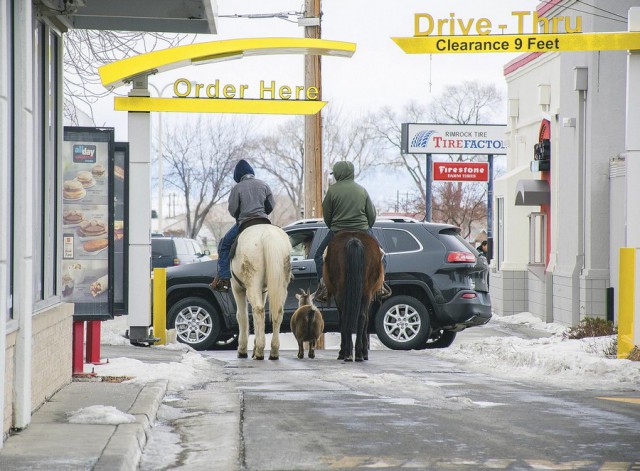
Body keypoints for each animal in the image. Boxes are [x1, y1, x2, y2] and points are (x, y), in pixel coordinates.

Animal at [231, 225, 294, 362]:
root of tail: (268, 235)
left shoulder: (237, 288)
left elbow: (241, 316)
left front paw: (242, 350)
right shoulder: (263, 291)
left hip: (252, 283)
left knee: (258, 310)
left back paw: (259, 351)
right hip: (281, 285)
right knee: (277, 312)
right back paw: (273, 352)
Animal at [324, 231, 384, 362]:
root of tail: (354, 239)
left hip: (348, 292)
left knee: (351, 317)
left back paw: (349, 353)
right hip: (365, 292)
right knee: (358, 317)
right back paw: (356, 353)